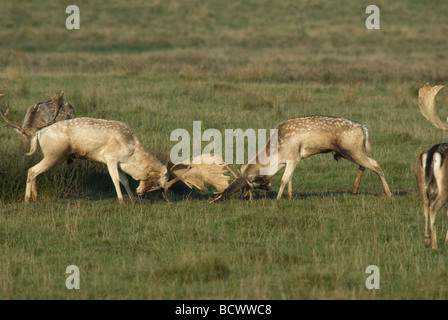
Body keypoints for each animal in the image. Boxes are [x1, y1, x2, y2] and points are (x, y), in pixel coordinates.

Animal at [212, 116, 390, 204]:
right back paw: (354, 189)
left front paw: (278, 198)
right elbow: (290, 178)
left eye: (251, 183)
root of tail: (363, 128)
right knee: (365, 165)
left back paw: (388, 193)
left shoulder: (294, 157)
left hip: (351, 150)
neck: (277, 153)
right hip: (351, 151)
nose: (223, 197)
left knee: (376, 164)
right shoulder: (290, 161)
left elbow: (284, 179)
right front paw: (289, 197)